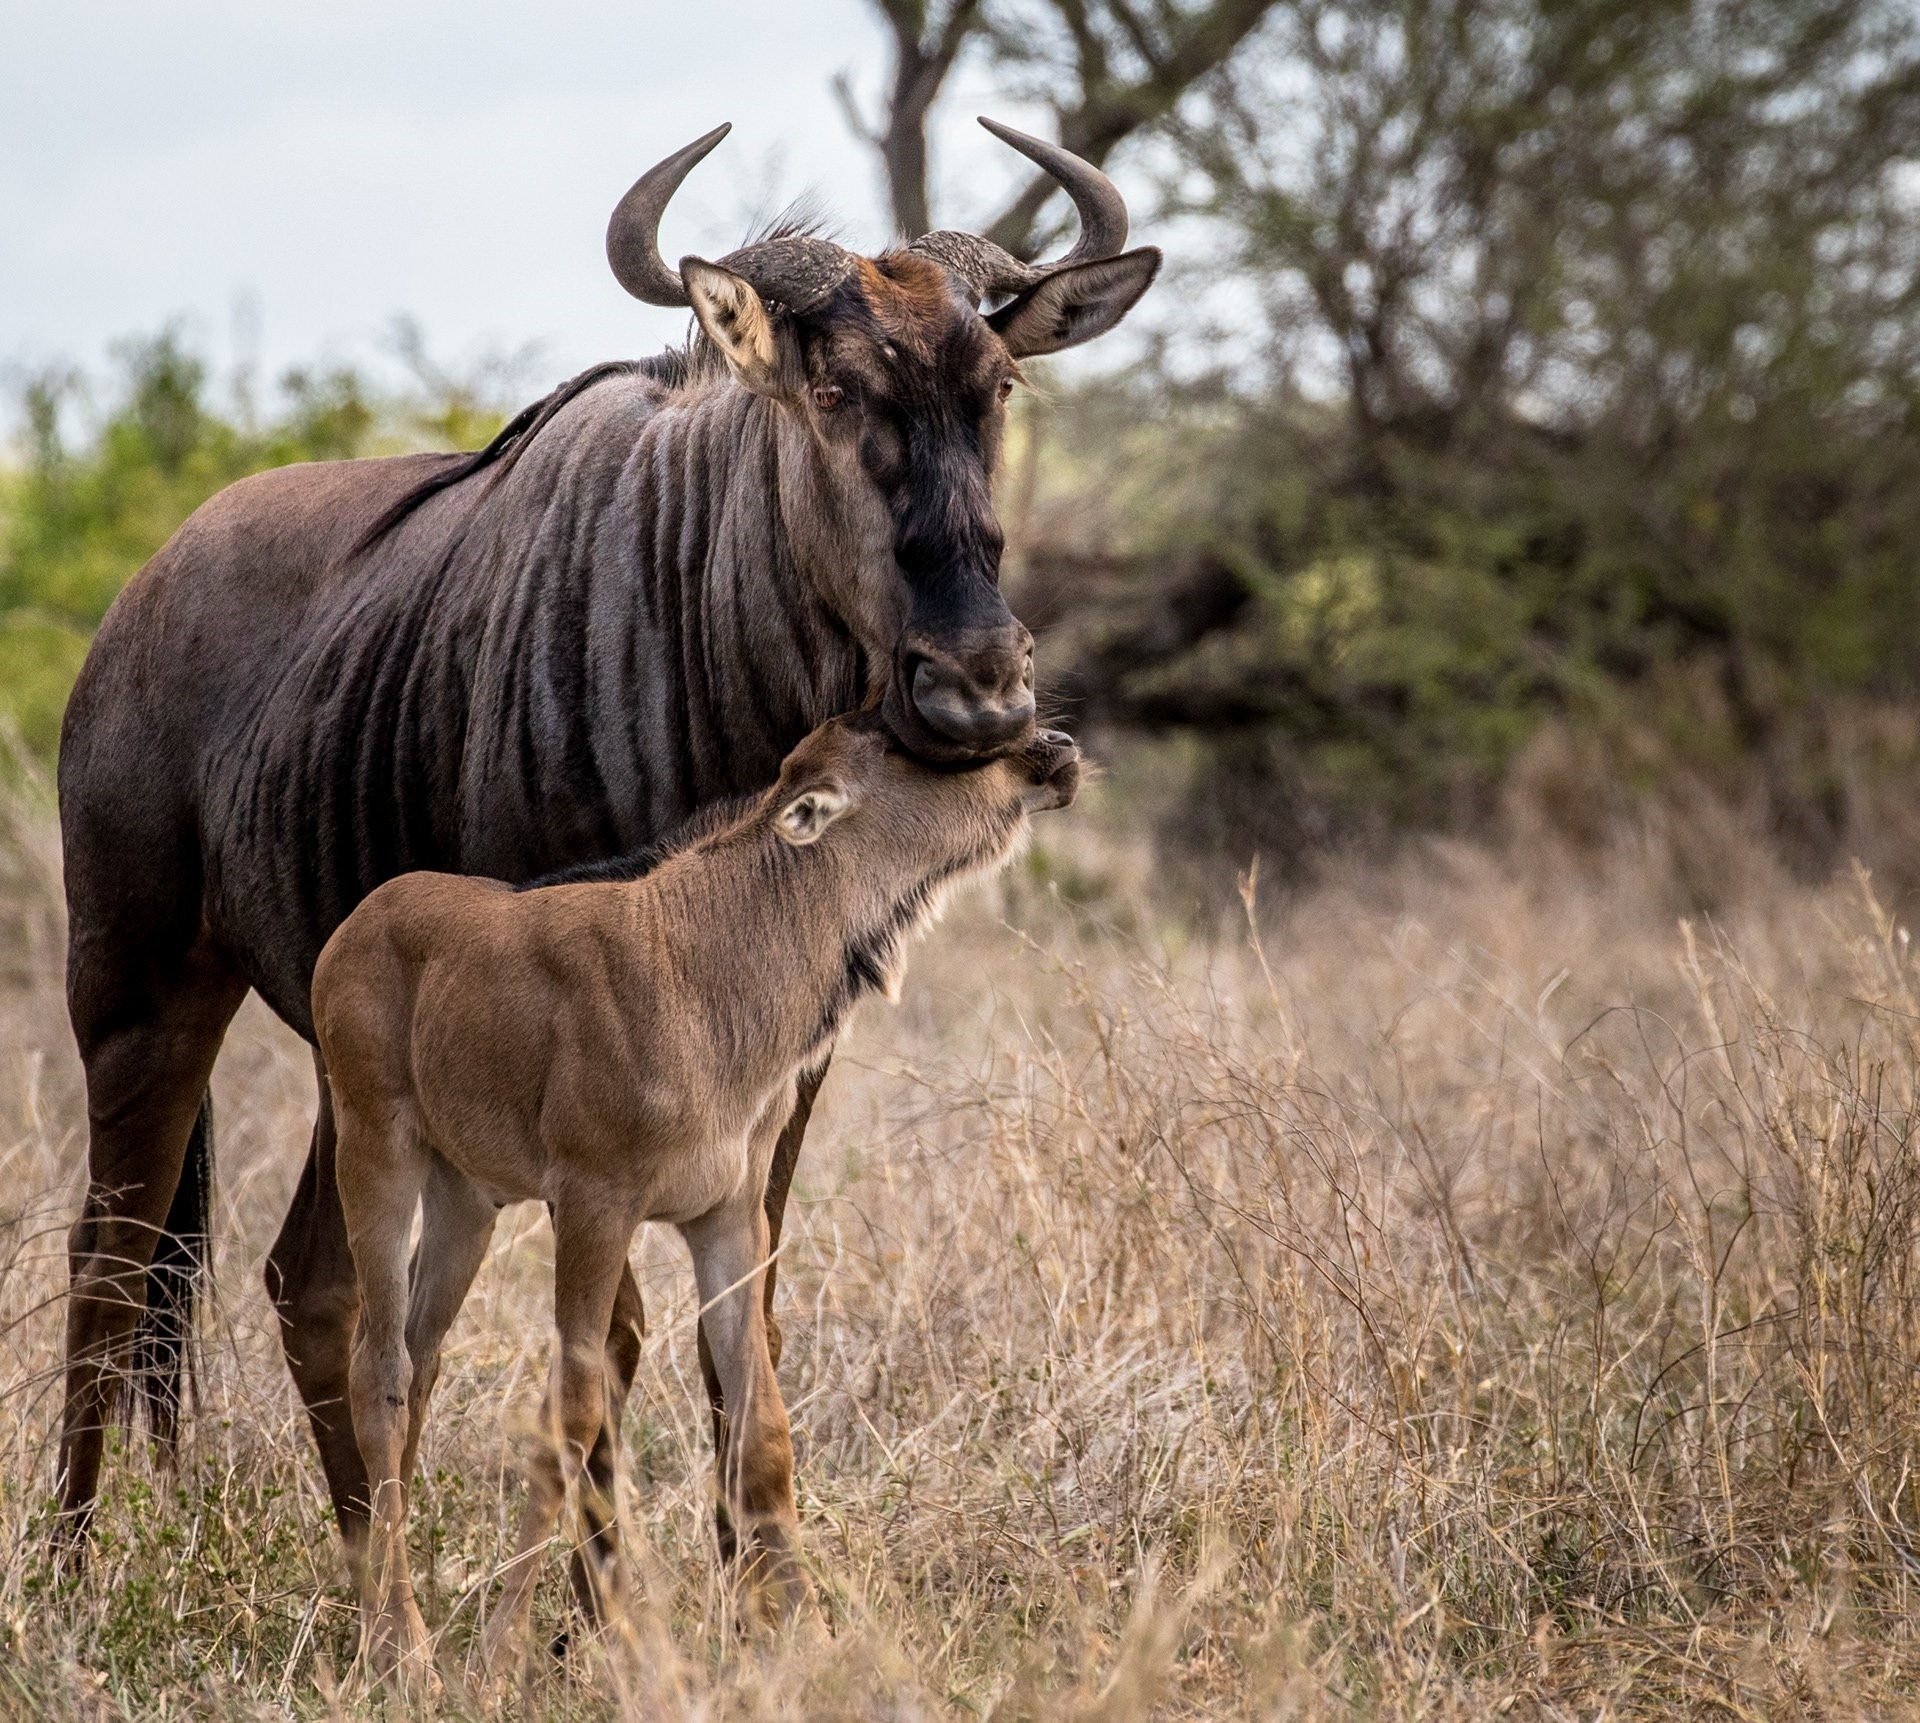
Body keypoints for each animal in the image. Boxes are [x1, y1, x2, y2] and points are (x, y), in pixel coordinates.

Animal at [307, 706, 1075, 1674]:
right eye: (911, 749)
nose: (1055, 754)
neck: (707, 963)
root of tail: (348, 935)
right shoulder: (596, 1204)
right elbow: (573, 1410)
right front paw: (500, 1654)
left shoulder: (727, 1217)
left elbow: (762, 1421)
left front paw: (808, 1634)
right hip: (376, 1151)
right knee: (376, 1369)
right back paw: (404, 1647)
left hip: (465, 1201)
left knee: (420, 1360)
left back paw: (381, 1619)